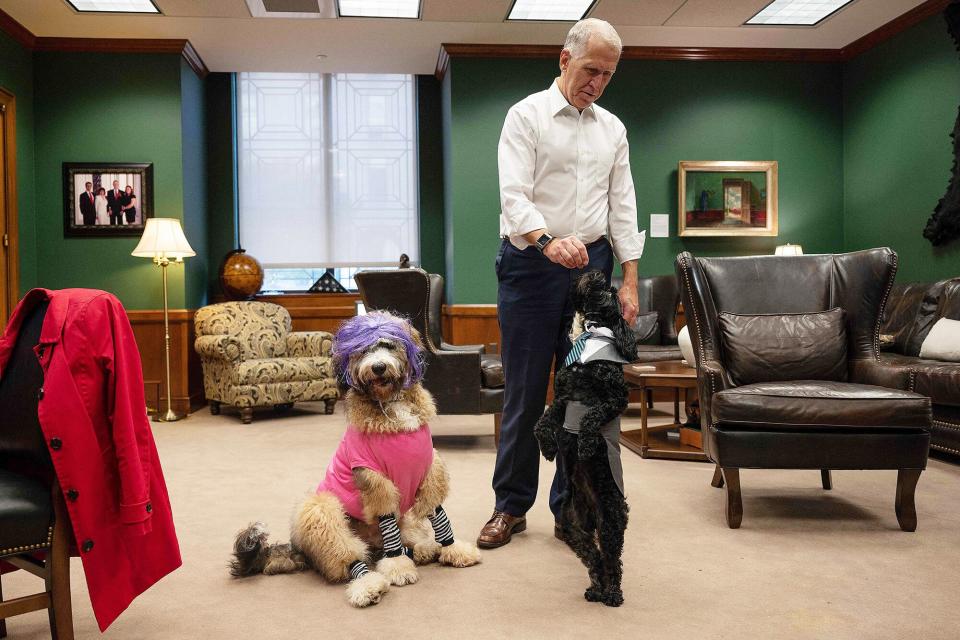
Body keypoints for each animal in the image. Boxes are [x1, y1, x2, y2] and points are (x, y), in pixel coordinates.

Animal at [226, 312, 480, 608]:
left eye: (387, 344)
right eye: (363, 350)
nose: (378, 367)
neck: (391, 404)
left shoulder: (428, 471)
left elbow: (438, 513)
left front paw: (454, 548)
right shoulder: (374, 480)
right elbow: (388, 526)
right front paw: (398, 568)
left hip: (400, 521)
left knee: (385, 548)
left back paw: (423, 549)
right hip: (320, 509)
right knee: (354, 557)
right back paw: (369, 585)